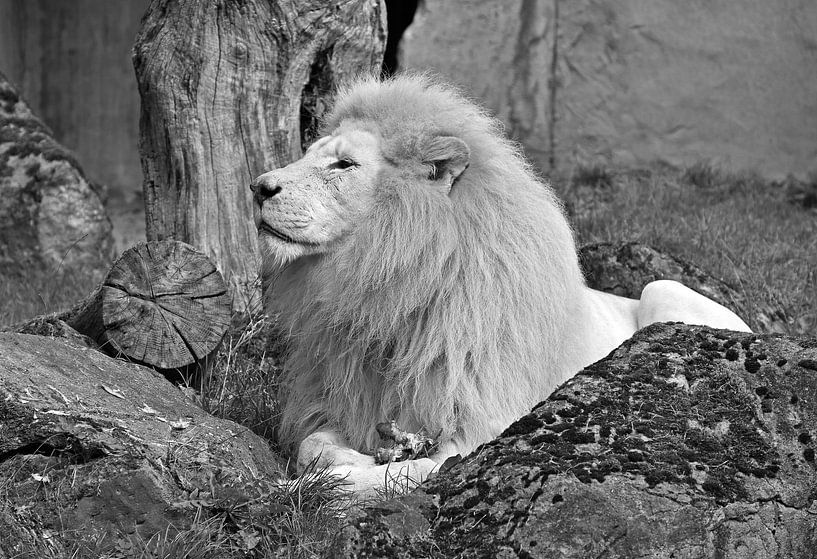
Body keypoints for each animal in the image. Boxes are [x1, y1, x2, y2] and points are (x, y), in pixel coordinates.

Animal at [251, 75, 750, 496]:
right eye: (313, 154)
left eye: (344, 164)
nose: (258, 187)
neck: (391, 291)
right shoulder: (346, 398)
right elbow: (312, 445)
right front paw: (339, 461)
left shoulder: (488, 430)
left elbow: (409, 472)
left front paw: (310, 487)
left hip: (662, 288)